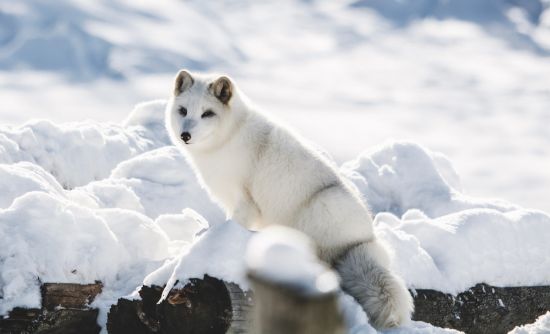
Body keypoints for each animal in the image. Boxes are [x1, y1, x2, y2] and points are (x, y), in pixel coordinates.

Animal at [166, 69, 416, 328]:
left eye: (207, 113)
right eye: (183, 110)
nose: (185, 135)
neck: (228, 137)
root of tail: (363, 241)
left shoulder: (245, 202)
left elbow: (231, 224)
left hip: (320, 206)